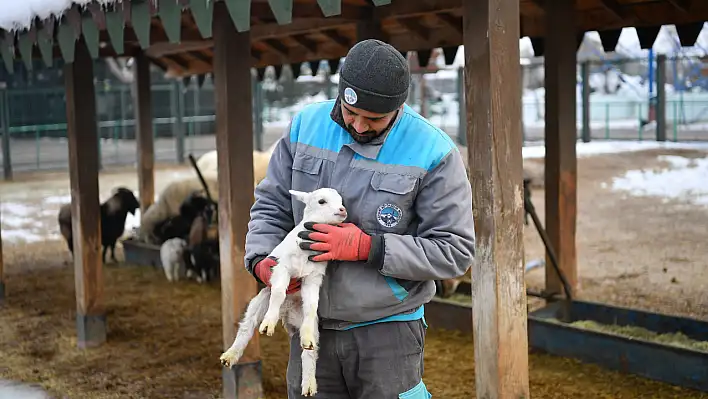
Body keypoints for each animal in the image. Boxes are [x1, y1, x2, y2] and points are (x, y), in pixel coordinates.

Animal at [217, 189, 348, 398]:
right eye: (321, 201)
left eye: (341, 200)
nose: (343, 209)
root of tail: (286, 313)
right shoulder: (282, 268)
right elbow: (278, 292)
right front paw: (268, 324)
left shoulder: (313, 277)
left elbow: (312, 305)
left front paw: (307, 335)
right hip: (260, 300)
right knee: (247, 327)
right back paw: (230, 355)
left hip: (305, 321)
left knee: (310, 352)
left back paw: (309, 382)